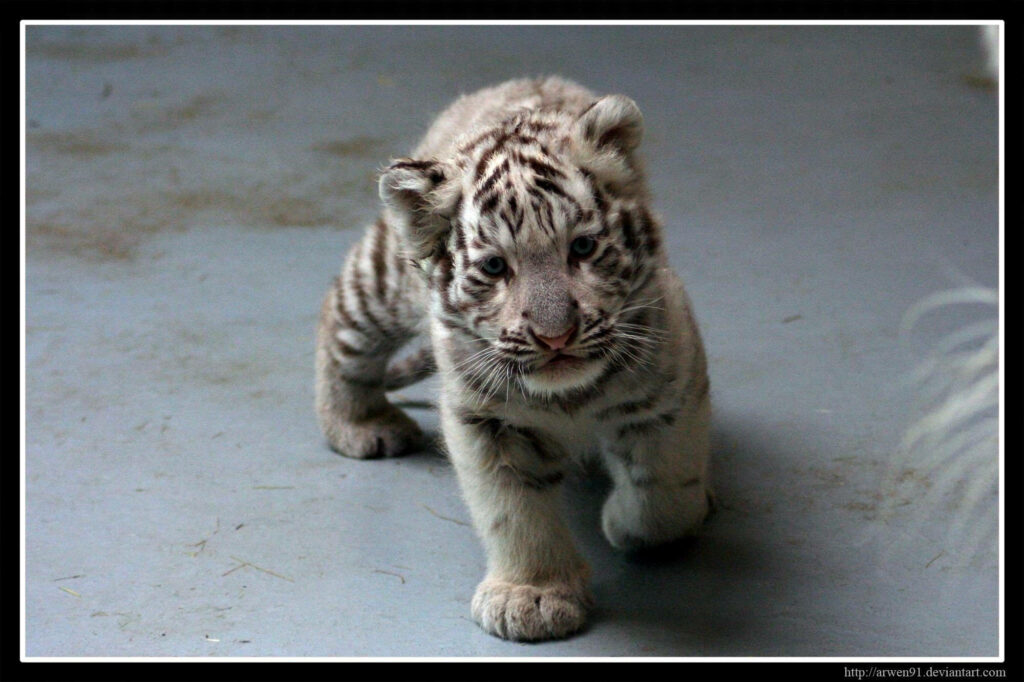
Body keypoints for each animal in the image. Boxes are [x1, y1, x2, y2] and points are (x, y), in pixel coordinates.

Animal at [315, 76, 712, 642]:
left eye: (583, 248)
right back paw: (360, 423)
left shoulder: (671, 386)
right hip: (385, 279)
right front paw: (533, 596)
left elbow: (665, 493)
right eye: (496, 267)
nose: (556, 336)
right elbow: (514, 510)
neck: (568, 397)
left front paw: (626, 524)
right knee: (343, 317)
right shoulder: (484, 419)